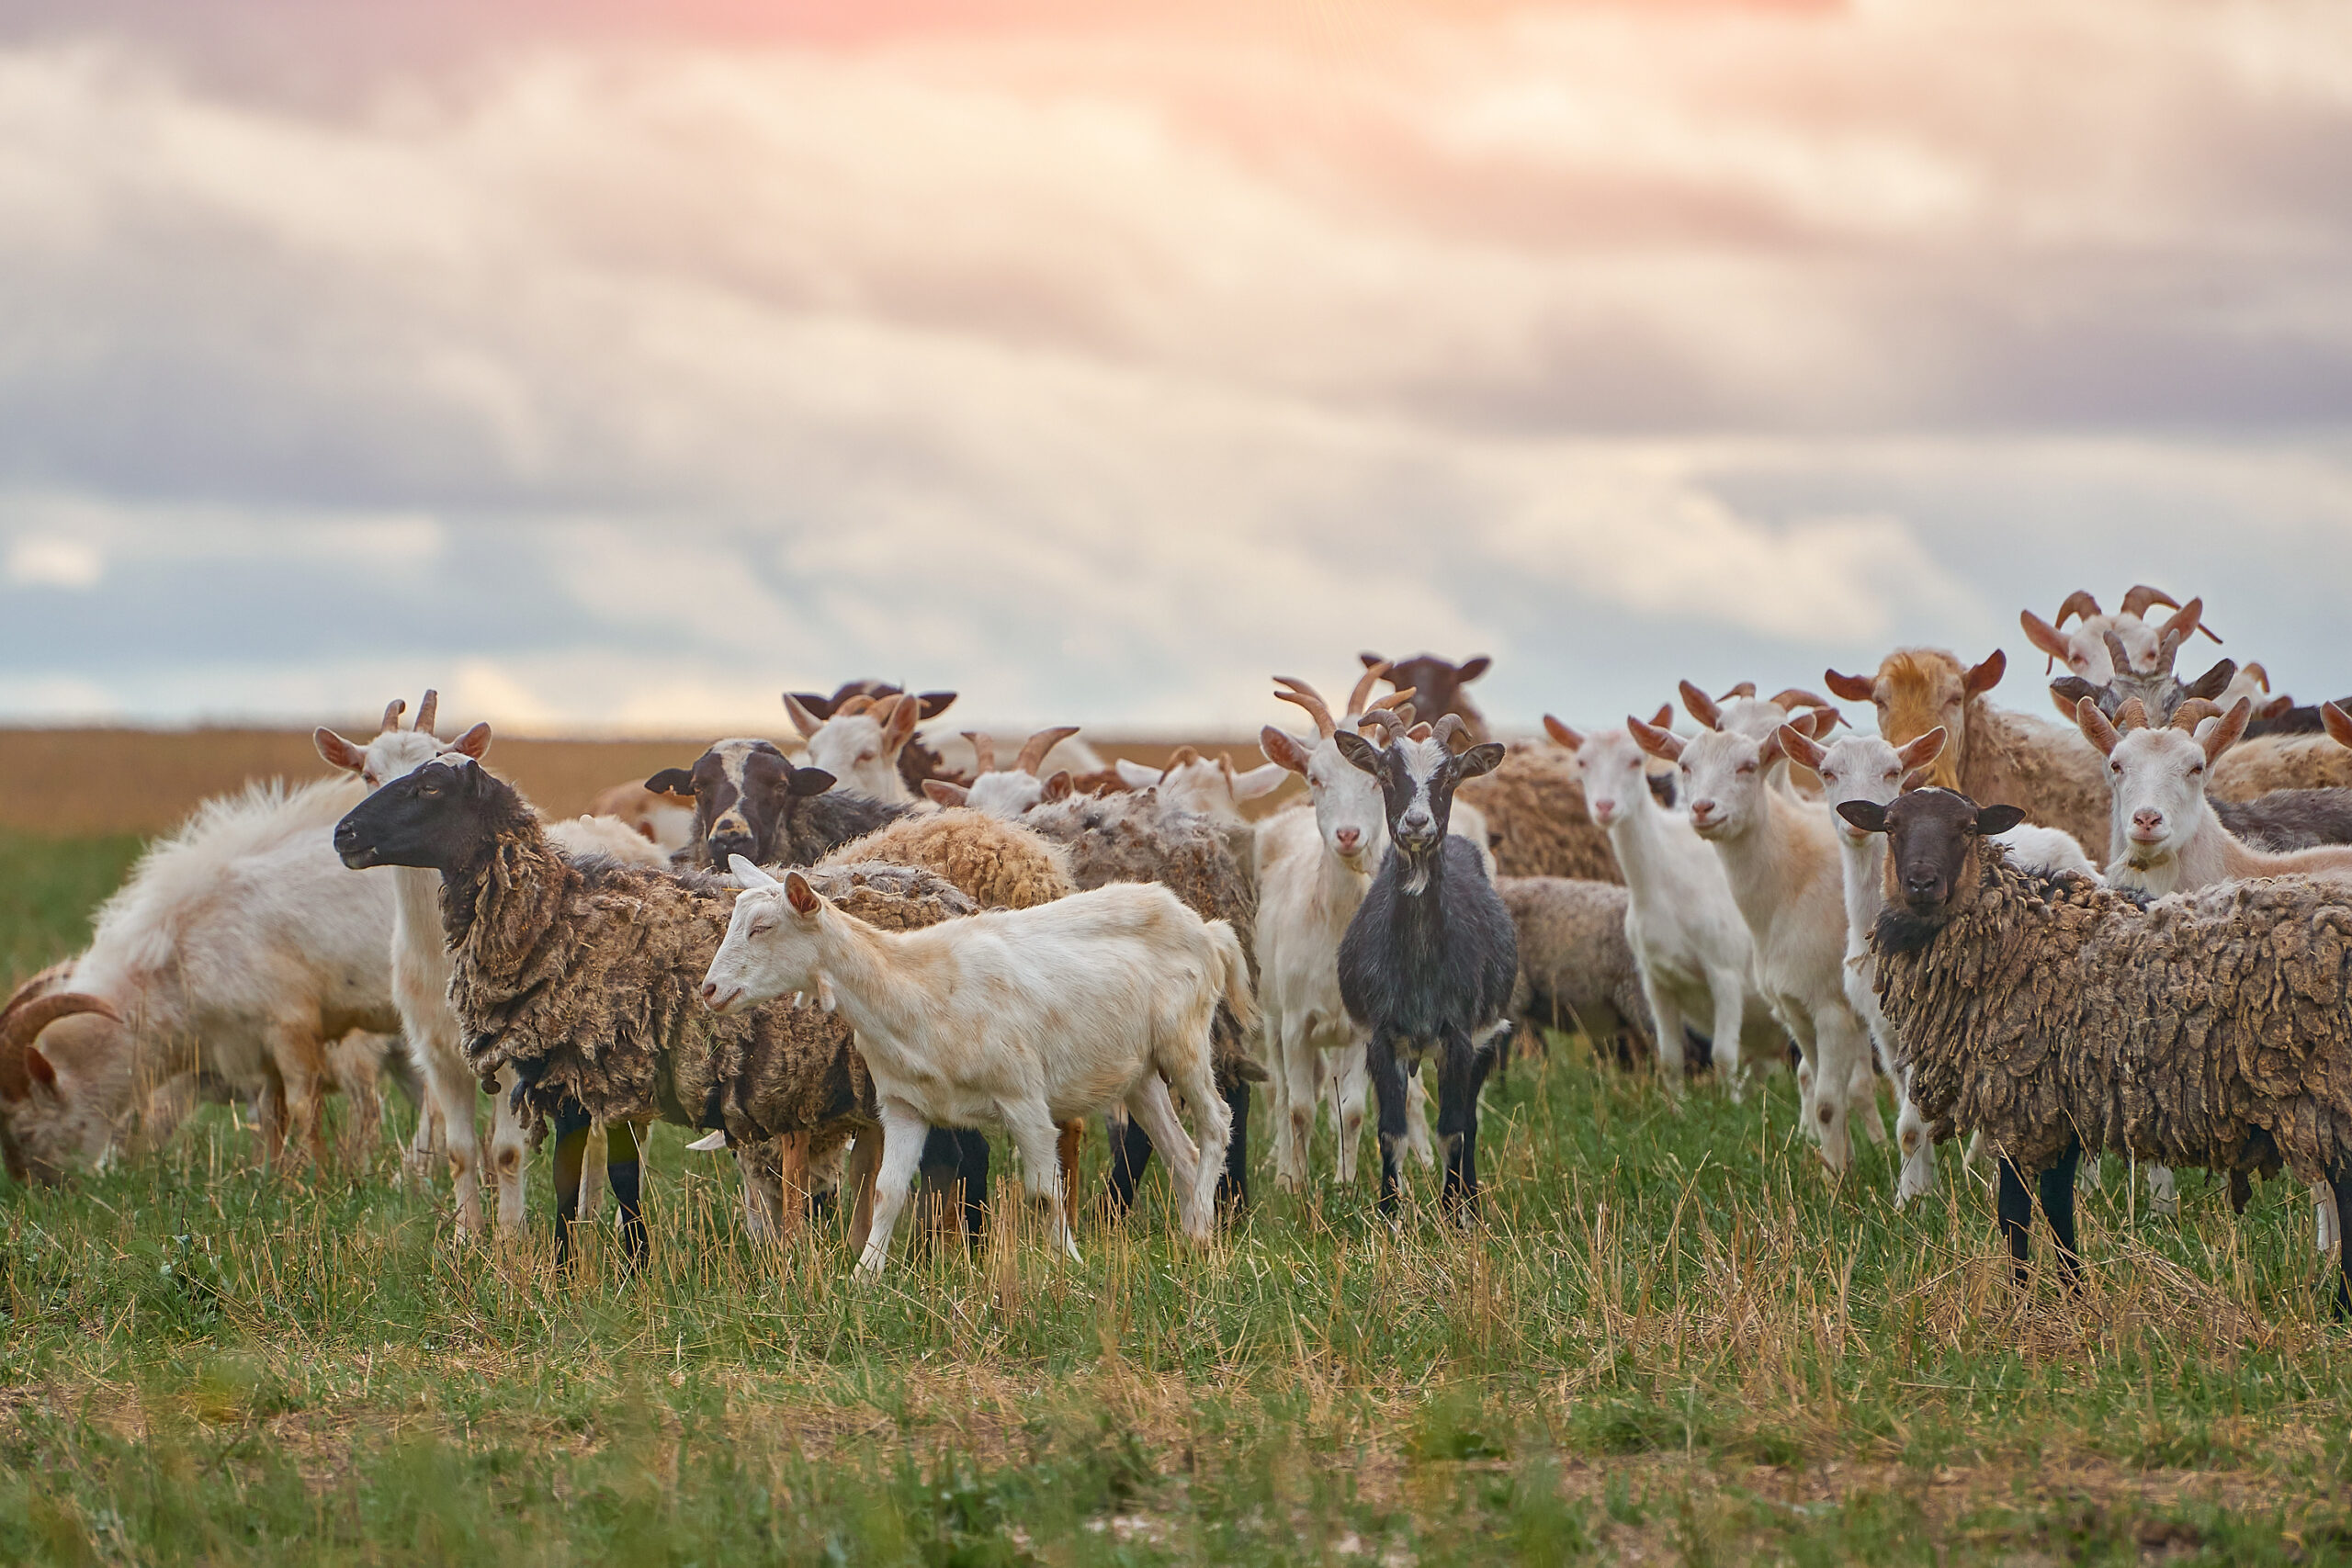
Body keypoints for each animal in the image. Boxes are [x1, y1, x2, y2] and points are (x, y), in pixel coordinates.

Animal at [702, 861, 1248, 1272]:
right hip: (1137, 1070)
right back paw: (1193, 1235)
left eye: (763, 928)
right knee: (1180, 1149)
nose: (709, 990)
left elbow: (1044, 1192)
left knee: (1216, 1122)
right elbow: (885, 1193)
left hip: (1185, 1039)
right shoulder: (904, 1105)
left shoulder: (1023, 1097)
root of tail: (1205, 926)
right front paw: (864, 1278)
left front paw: (1070, 1267)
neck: (910, 989)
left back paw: (1202, 1230)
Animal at [1334, 713, 1516, 1218]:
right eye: (1385, 774)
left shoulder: (1460, 1037)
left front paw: (1456, 1215)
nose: (1417, 822)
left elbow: (1454, 1129)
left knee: (1469, 1120)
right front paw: (1389, 1215)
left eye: (1450, 776)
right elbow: (1390, 1132)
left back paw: (1469, 1198)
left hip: (1487, 1039)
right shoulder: (1382, 1039)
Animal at [1541, 716, 1785, 1095]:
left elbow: (1723, 1055)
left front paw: (1725, 1106)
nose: (1605, 807)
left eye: (1635, 761)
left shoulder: (1726, 973)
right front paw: (1679, 1105)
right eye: (1582, 762)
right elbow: (1670, 1056)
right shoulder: (1656, 980)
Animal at [1841, 786, 2352, 1313]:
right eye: (1892, 827)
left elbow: (2017, 1209)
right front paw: (2073, 1294)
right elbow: (2055, 1204)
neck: (2018, 934)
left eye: (1968, 828)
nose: (1921, 884)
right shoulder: (2061, 1100)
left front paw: (2022, 1303)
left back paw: (2339, 1308)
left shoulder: (2020, 1098)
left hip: (2326, 1086)